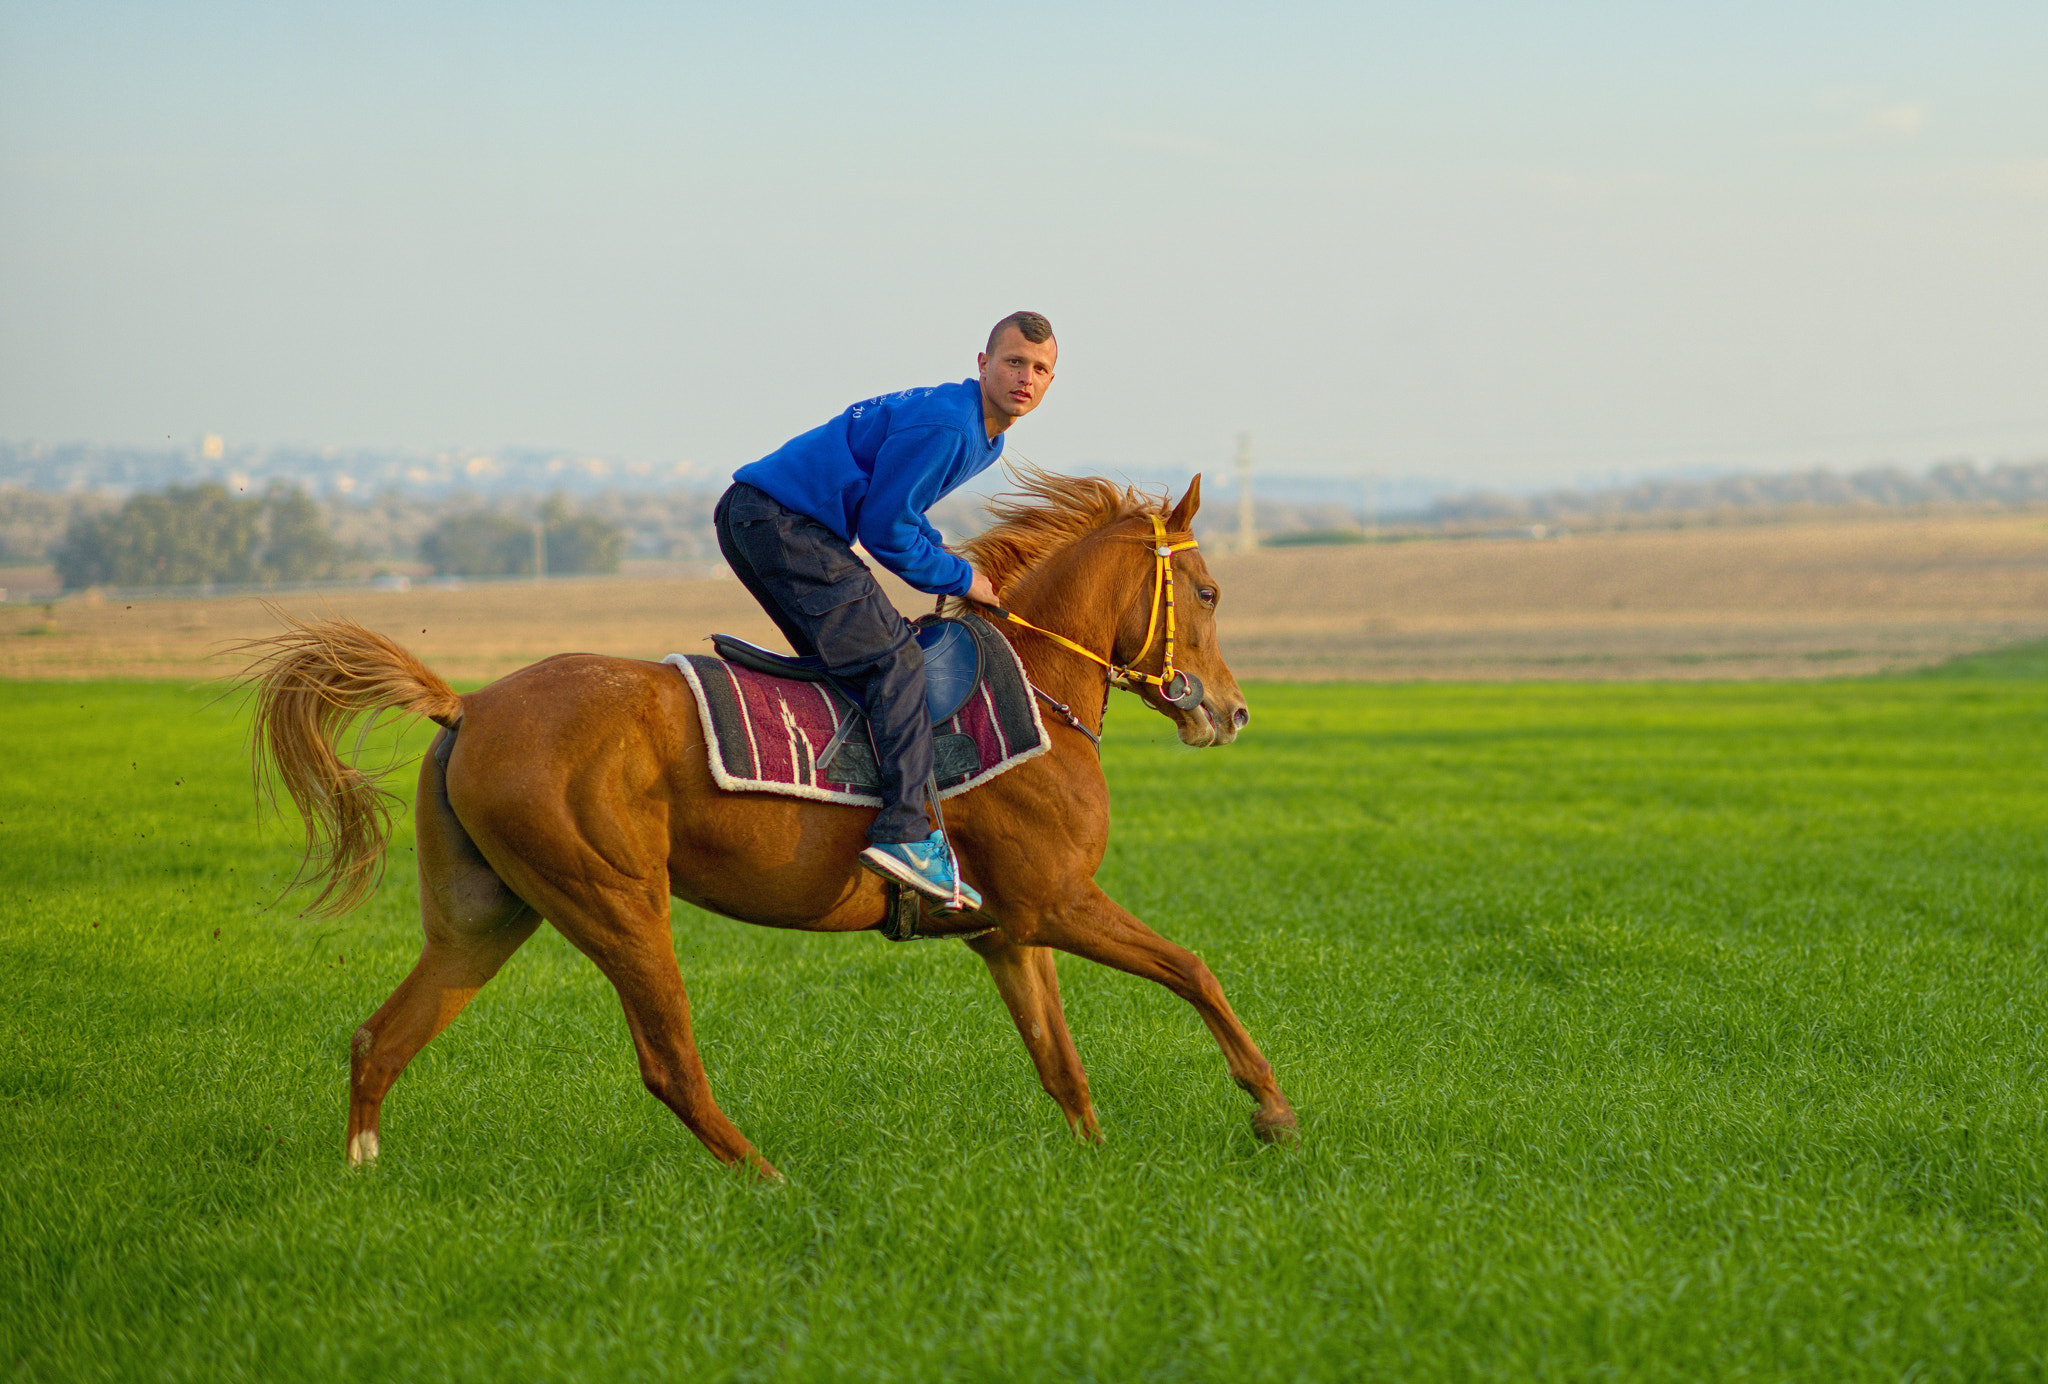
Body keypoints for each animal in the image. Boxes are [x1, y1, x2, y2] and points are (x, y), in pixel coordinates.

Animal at [239, 466, 1294, 1179]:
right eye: (1207, 592)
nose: (1232, 712)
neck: (1040, 690)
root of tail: (467, 705)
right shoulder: (1058, 902)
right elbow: (1195, 969)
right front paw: (1272, 1109)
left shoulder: (1007, 931)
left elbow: (1063, 1066)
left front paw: (1097, 1163)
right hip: (616, 902)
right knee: (669, 1064)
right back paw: (769, 1180)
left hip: (485, 915)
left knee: (381, 1038)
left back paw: (362, 1176)